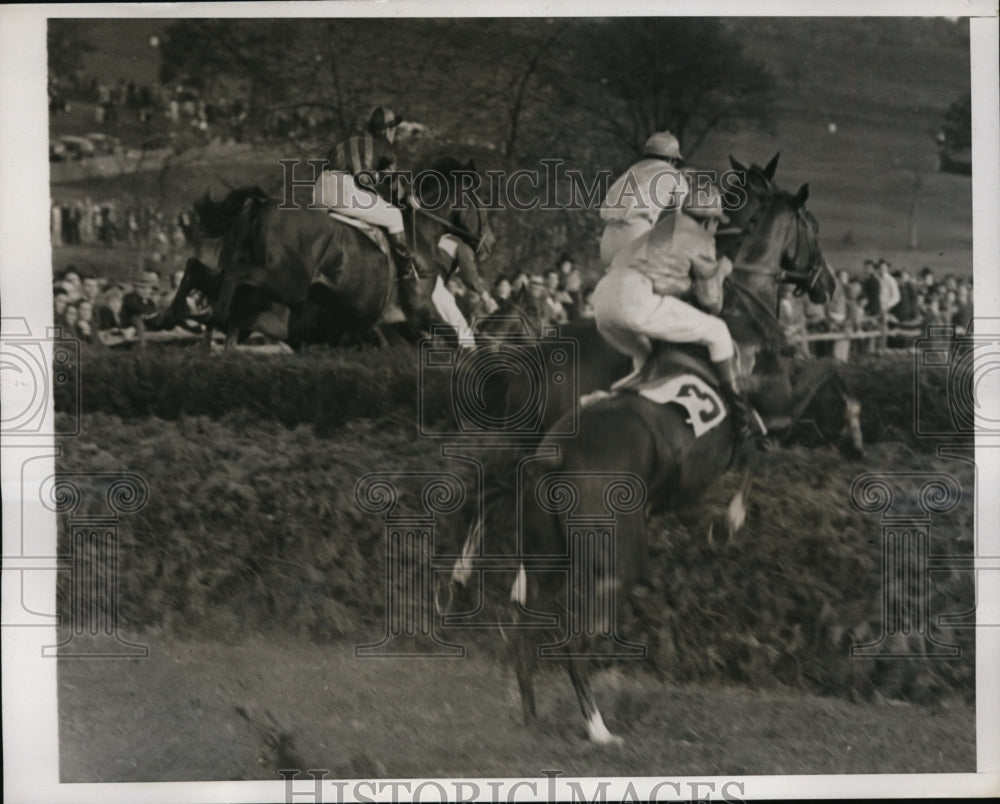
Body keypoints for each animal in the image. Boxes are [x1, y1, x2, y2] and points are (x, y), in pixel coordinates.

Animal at [182, 159, 494, 348]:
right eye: (482, 202)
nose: (489, 244)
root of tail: (261, 204)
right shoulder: (417, 312)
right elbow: (448, 339)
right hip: (288, 282)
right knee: (236, 274)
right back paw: (210, 317)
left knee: (200, 269)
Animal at [450, 154, 864, 744]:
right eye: (815, 227)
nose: (827, 284)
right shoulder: (779, 404)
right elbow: (830, 374)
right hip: (605, 542)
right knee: (564, 615)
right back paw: (594, 722)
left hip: (532, 460)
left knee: (499, 520)